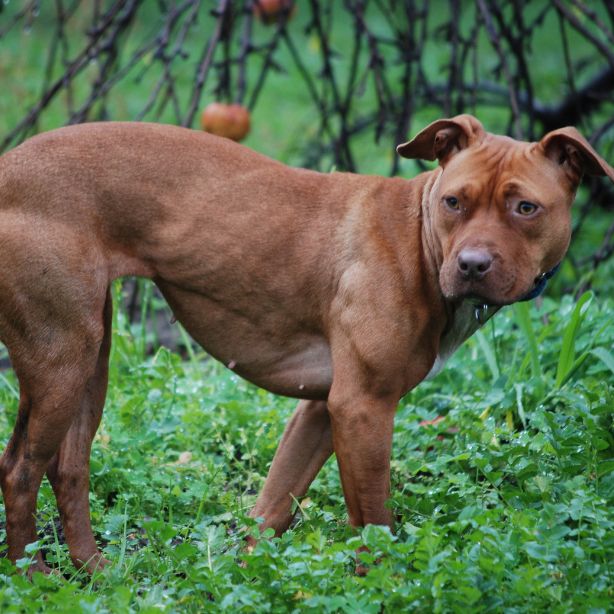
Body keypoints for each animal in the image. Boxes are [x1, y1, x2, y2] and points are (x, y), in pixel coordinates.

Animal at [0, 113, 612, 576]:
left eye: (525, 208)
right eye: (455, 202)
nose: (472, 265)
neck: (418, 241)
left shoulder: (322, 411)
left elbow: (272, 507)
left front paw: (247, 576)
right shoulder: (362, 408)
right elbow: (374, 520)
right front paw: (382, 585)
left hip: (89, 362)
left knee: (69, 469)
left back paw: (95, 572)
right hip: (62, 362)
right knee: (20, 472)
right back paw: (35, 577)